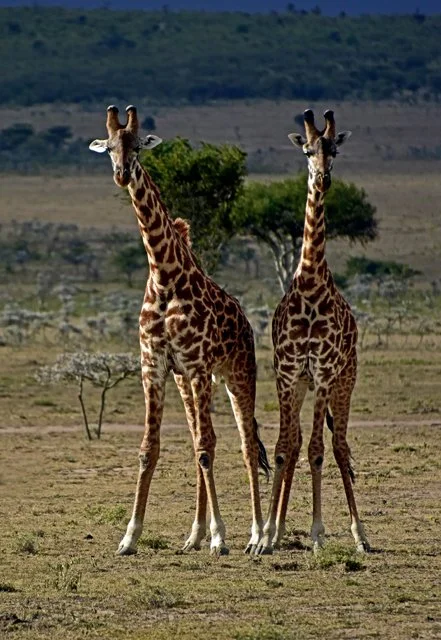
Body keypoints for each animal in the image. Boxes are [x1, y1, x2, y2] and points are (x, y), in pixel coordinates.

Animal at [89, 105, 270, 556]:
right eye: (109, 147)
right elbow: (149, 450)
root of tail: (246, 321)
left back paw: (257, 535)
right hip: (186, 380)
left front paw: (221, 536)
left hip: (237, 374)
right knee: (199, 441)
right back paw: (194, 535)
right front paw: (129, 537)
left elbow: (208, 448)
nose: (122, 173)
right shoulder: (155, 365)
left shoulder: (198, 363)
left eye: (137, 145)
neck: (165, 275)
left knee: (244, 444)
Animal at [256, 109, 370, 555]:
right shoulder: (288, 374)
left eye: (334, 149)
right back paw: (279, 529)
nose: (323, 178)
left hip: (345, 380)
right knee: (298, 439)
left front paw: (318, 533)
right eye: (306, 150)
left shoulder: (322, 373)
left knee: (339, 446)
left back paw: (361, 535)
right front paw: (266, 536)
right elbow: (284, 447)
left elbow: (317, 451)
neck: (308, 284)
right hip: (304, 384)